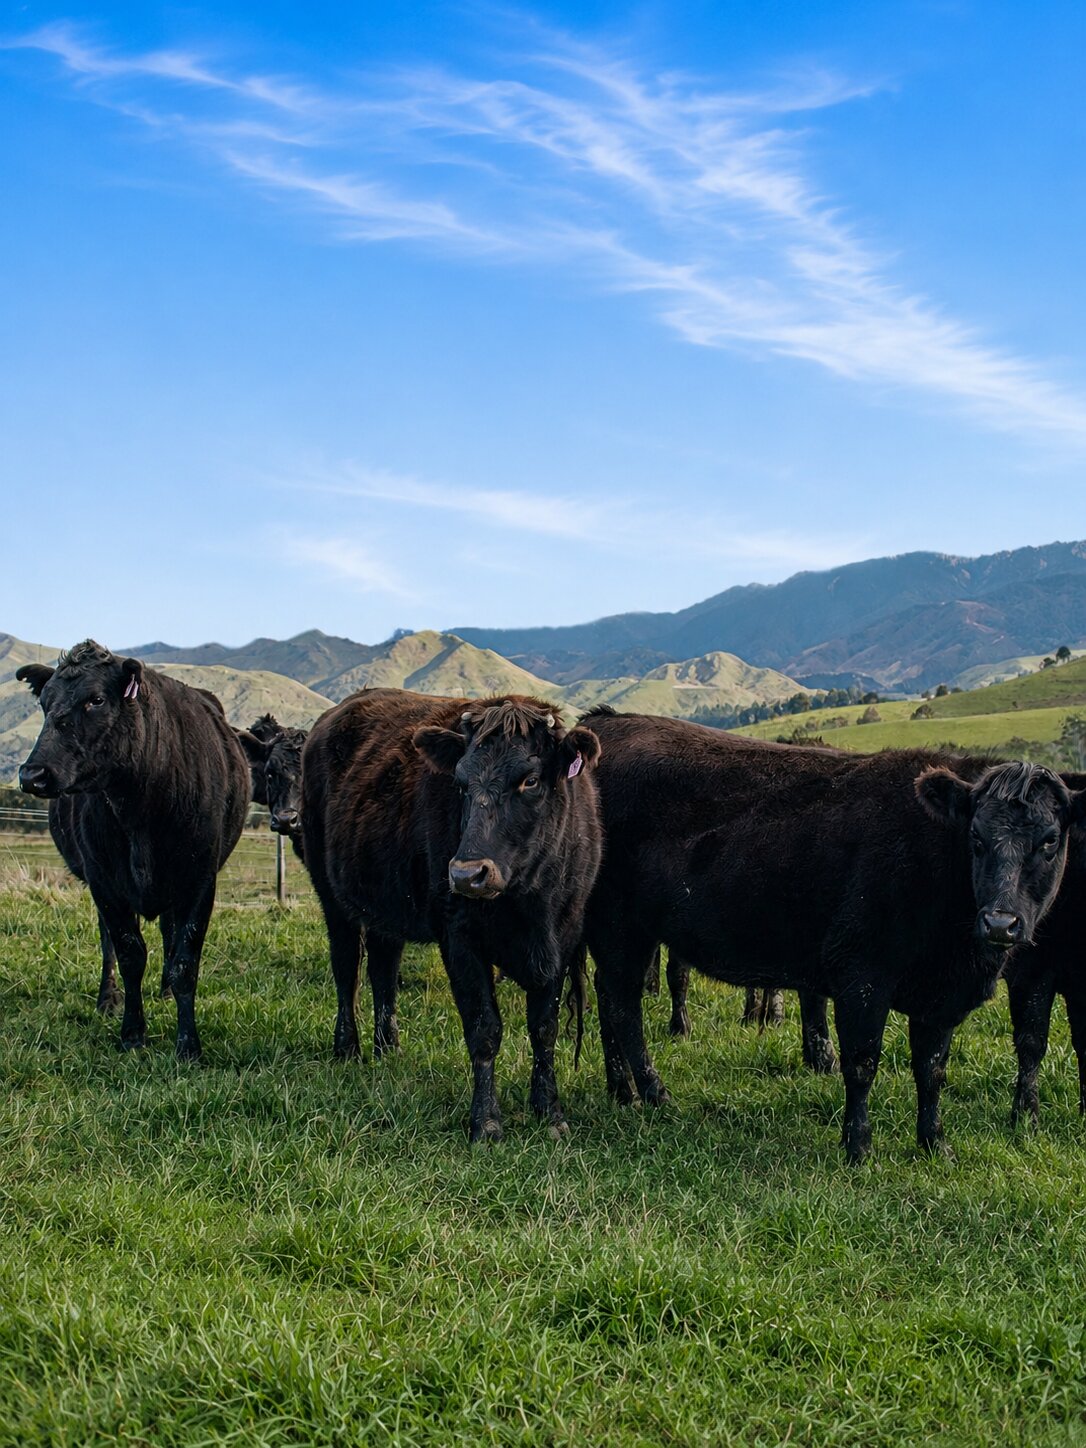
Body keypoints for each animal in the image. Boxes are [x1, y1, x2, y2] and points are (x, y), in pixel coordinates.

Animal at [17, 641, 250, 1059]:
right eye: (44, 702)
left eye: (96, 699)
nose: (32, 775)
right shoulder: (104, 883)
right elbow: (128, 954)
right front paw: (132, 1032)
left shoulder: (199, 880)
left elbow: (185, 960)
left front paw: (188, 1044)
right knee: (110, 943)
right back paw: (107, 998)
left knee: (171, 936)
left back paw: (166, 989)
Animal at [301, 689, 602, 1141]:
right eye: (460, 783)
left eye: (530, 780)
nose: (466, 873)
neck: (529, 900)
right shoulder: (459, 939)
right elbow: (484, 1029)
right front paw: (486, 1122)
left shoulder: (563, 941)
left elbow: (544, 1028)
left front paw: (549, 1111)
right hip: (332, 896)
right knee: (347, 969)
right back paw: (347, 1047)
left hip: (385, 908)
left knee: (383, 970)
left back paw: (388, 1047)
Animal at [581, 709, 1084, 1163]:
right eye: (975, 837)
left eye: (1050, 840)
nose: (1000, 923)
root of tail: (608, 720)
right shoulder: (861, 974)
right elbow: (861, 1062)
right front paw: (858, 1146)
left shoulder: (941, 995)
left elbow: (932, 1069)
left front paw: (934, 1143)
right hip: (619, 924)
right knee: (624, 1006)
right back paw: (653, 1090)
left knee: (608, 999)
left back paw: (621, 1090)